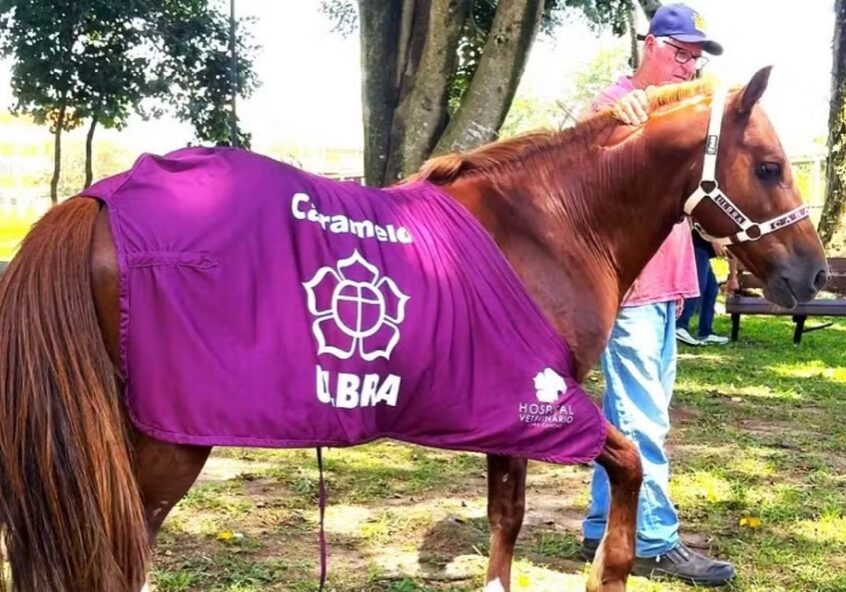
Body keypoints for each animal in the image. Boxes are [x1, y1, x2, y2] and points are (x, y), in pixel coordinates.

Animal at [0, 66, 827, 592]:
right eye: (770, 165)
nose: (812, 276)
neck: (553, 220)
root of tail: (95, 204)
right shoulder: (543, 401)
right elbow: (625, 470)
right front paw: (610, 573)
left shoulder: (506, 413)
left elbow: (505, 516)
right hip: (161, 448)